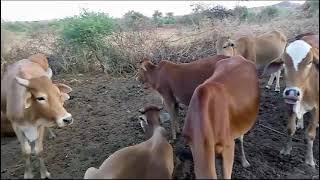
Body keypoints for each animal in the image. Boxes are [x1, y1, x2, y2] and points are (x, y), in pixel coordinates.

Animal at [264, 33, 318, 167]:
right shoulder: (289, 104)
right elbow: (290, 129)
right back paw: (300, 123)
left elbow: (310, 135)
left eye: (310, 62)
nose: (292, 92)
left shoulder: (317, 108)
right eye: (284, 62)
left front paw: (310, 161)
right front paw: (286, 150)